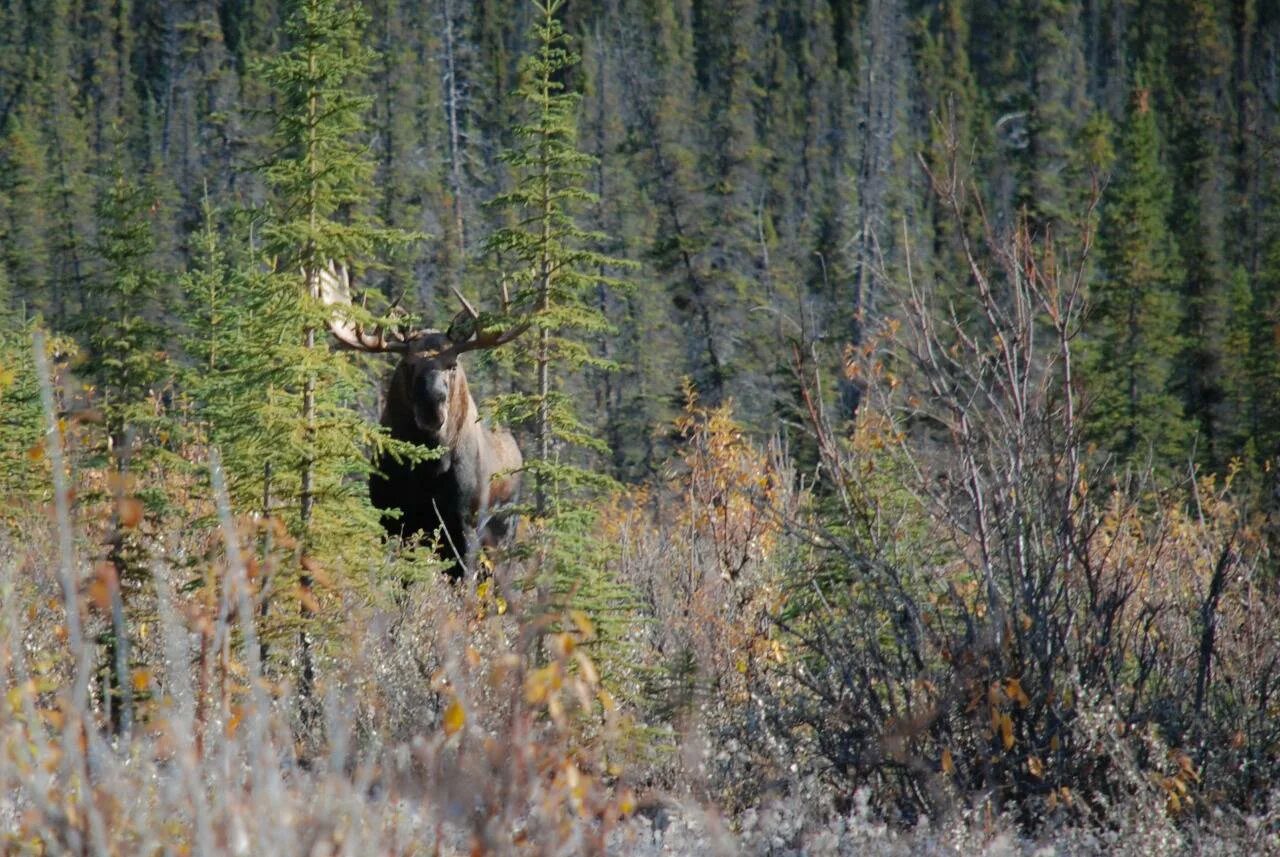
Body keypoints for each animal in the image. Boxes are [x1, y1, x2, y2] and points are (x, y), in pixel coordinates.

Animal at [322, 264, 527, 580]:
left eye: (452, 365)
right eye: (408, 364)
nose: (432, 408)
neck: (429, 469)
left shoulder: (465, 525)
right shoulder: (393, 520)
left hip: (503, 532)